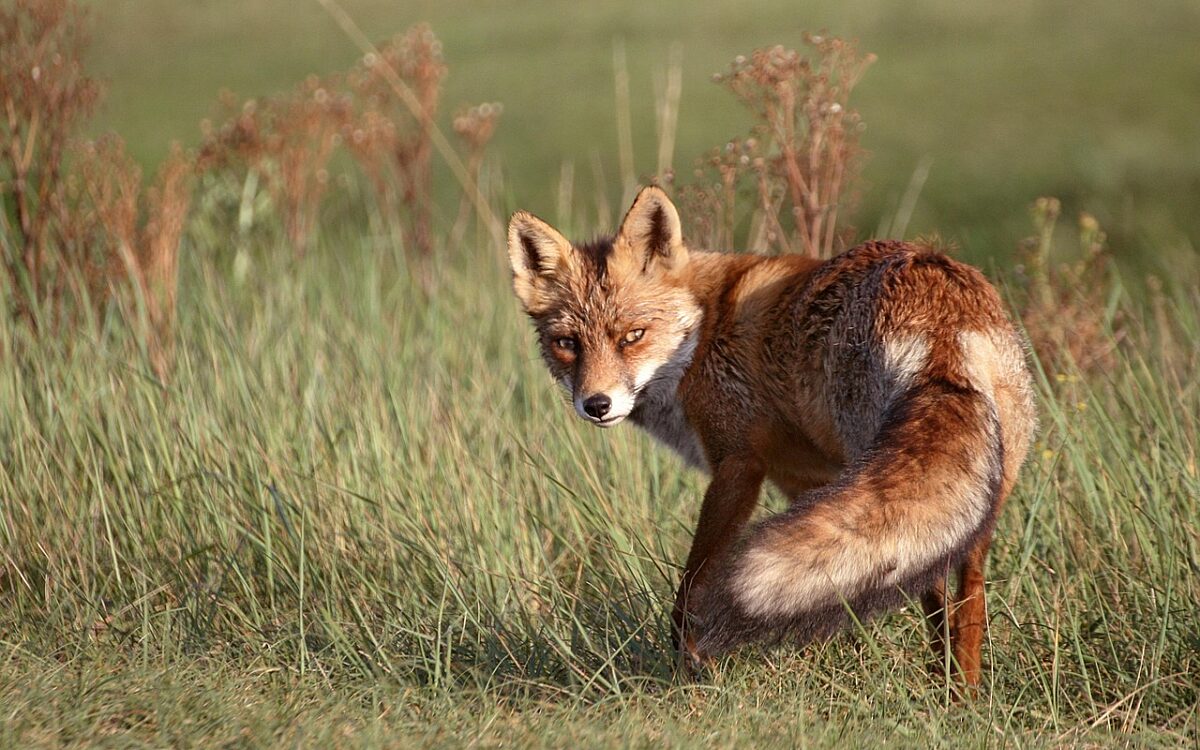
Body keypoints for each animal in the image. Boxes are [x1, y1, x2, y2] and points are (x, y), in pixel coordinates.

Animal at [505, 186, 1036, 689]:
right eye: (567, 344)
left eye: (633, 335)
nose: (596, 405)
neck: (705, 329)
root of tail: (941, 306)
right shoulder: (805, 482)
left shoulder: (738, 464)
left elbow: (694, 584)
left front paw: (689, 667)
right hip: (974, 490)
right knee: (960, 585)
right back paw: (960, 694)